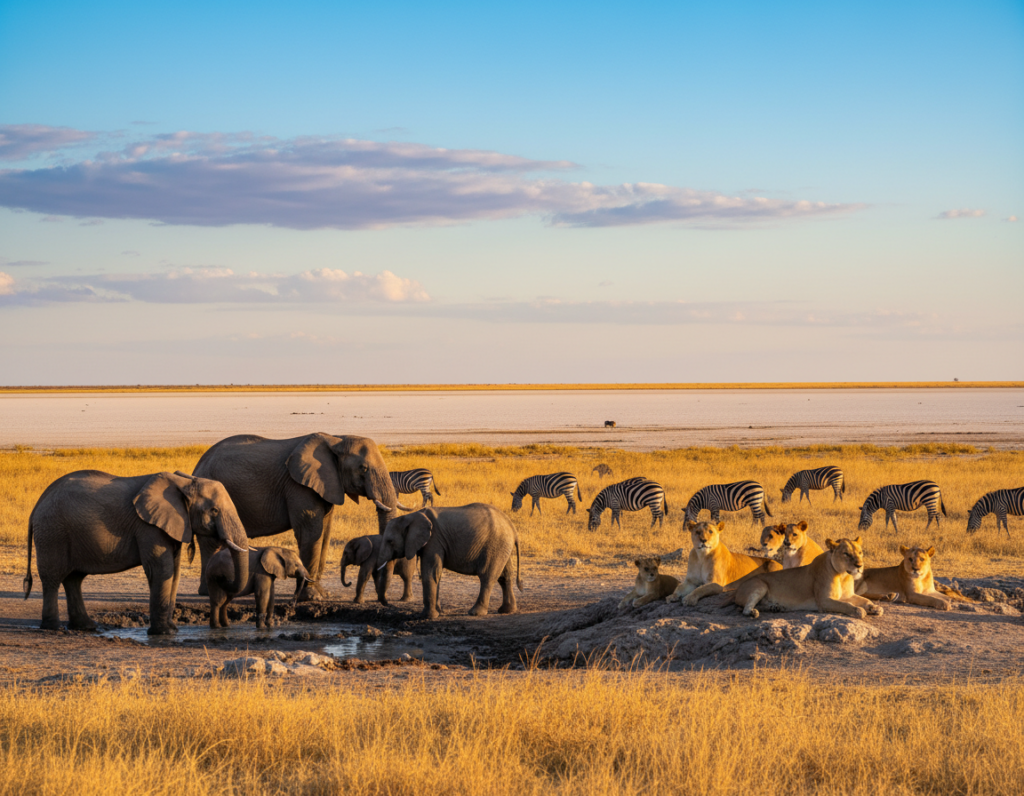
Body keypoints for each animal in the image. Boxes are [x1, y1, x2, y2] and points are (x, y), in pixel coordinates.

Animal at [23, 470, 250, 635]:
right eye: (214, 511)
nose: (223, 579)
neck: (184, 482)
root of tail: (37, 505)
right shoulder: (148, 527)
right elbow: (161, 569)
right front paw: (164, 633)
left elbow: (174, 571)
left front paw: (173, 629)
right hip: (52, 532)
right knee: (53, 578)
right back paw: (53, 627)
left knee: (74, 579)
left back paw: (86, 626)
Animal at [192, 433, 412, 600]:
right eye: (363, 469)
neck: (336, 439)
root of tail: (199, 464)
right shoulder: (298, 486)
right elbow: (311, 532)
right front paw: (313, 597)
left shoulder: (327, 485)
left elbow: (325, 532)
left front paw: (323, 594)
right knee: (210, 543)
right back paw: (208, 592)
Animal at [375, 503, 522, 620]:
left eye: (390, 541)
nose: (388, 604)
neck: (410, 516)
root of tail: (513, 528)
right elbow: (436, 574)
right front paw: (439, 612)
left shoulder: (434, 540)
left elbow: (430, 573)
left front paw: (427, 616)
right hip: (502, 547)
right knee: (505, 576)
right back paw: (506, 611)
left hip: (495, 546)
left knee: (487, 577)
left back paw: (475, 613)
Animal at [732, 537, 884, 619]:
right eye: (846, 554)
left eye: (860, 552)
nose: (859, 565)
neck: (843, 575)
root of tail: (737, 589)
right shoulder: (824, 601)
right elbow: (845, 605)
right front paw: (859, 610)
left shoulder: (848, 595)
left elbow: (865, 600)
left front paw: (875, 607)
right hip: (760, 585)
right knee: (745, 609)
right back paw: (753, 612)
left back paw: (776, 608)